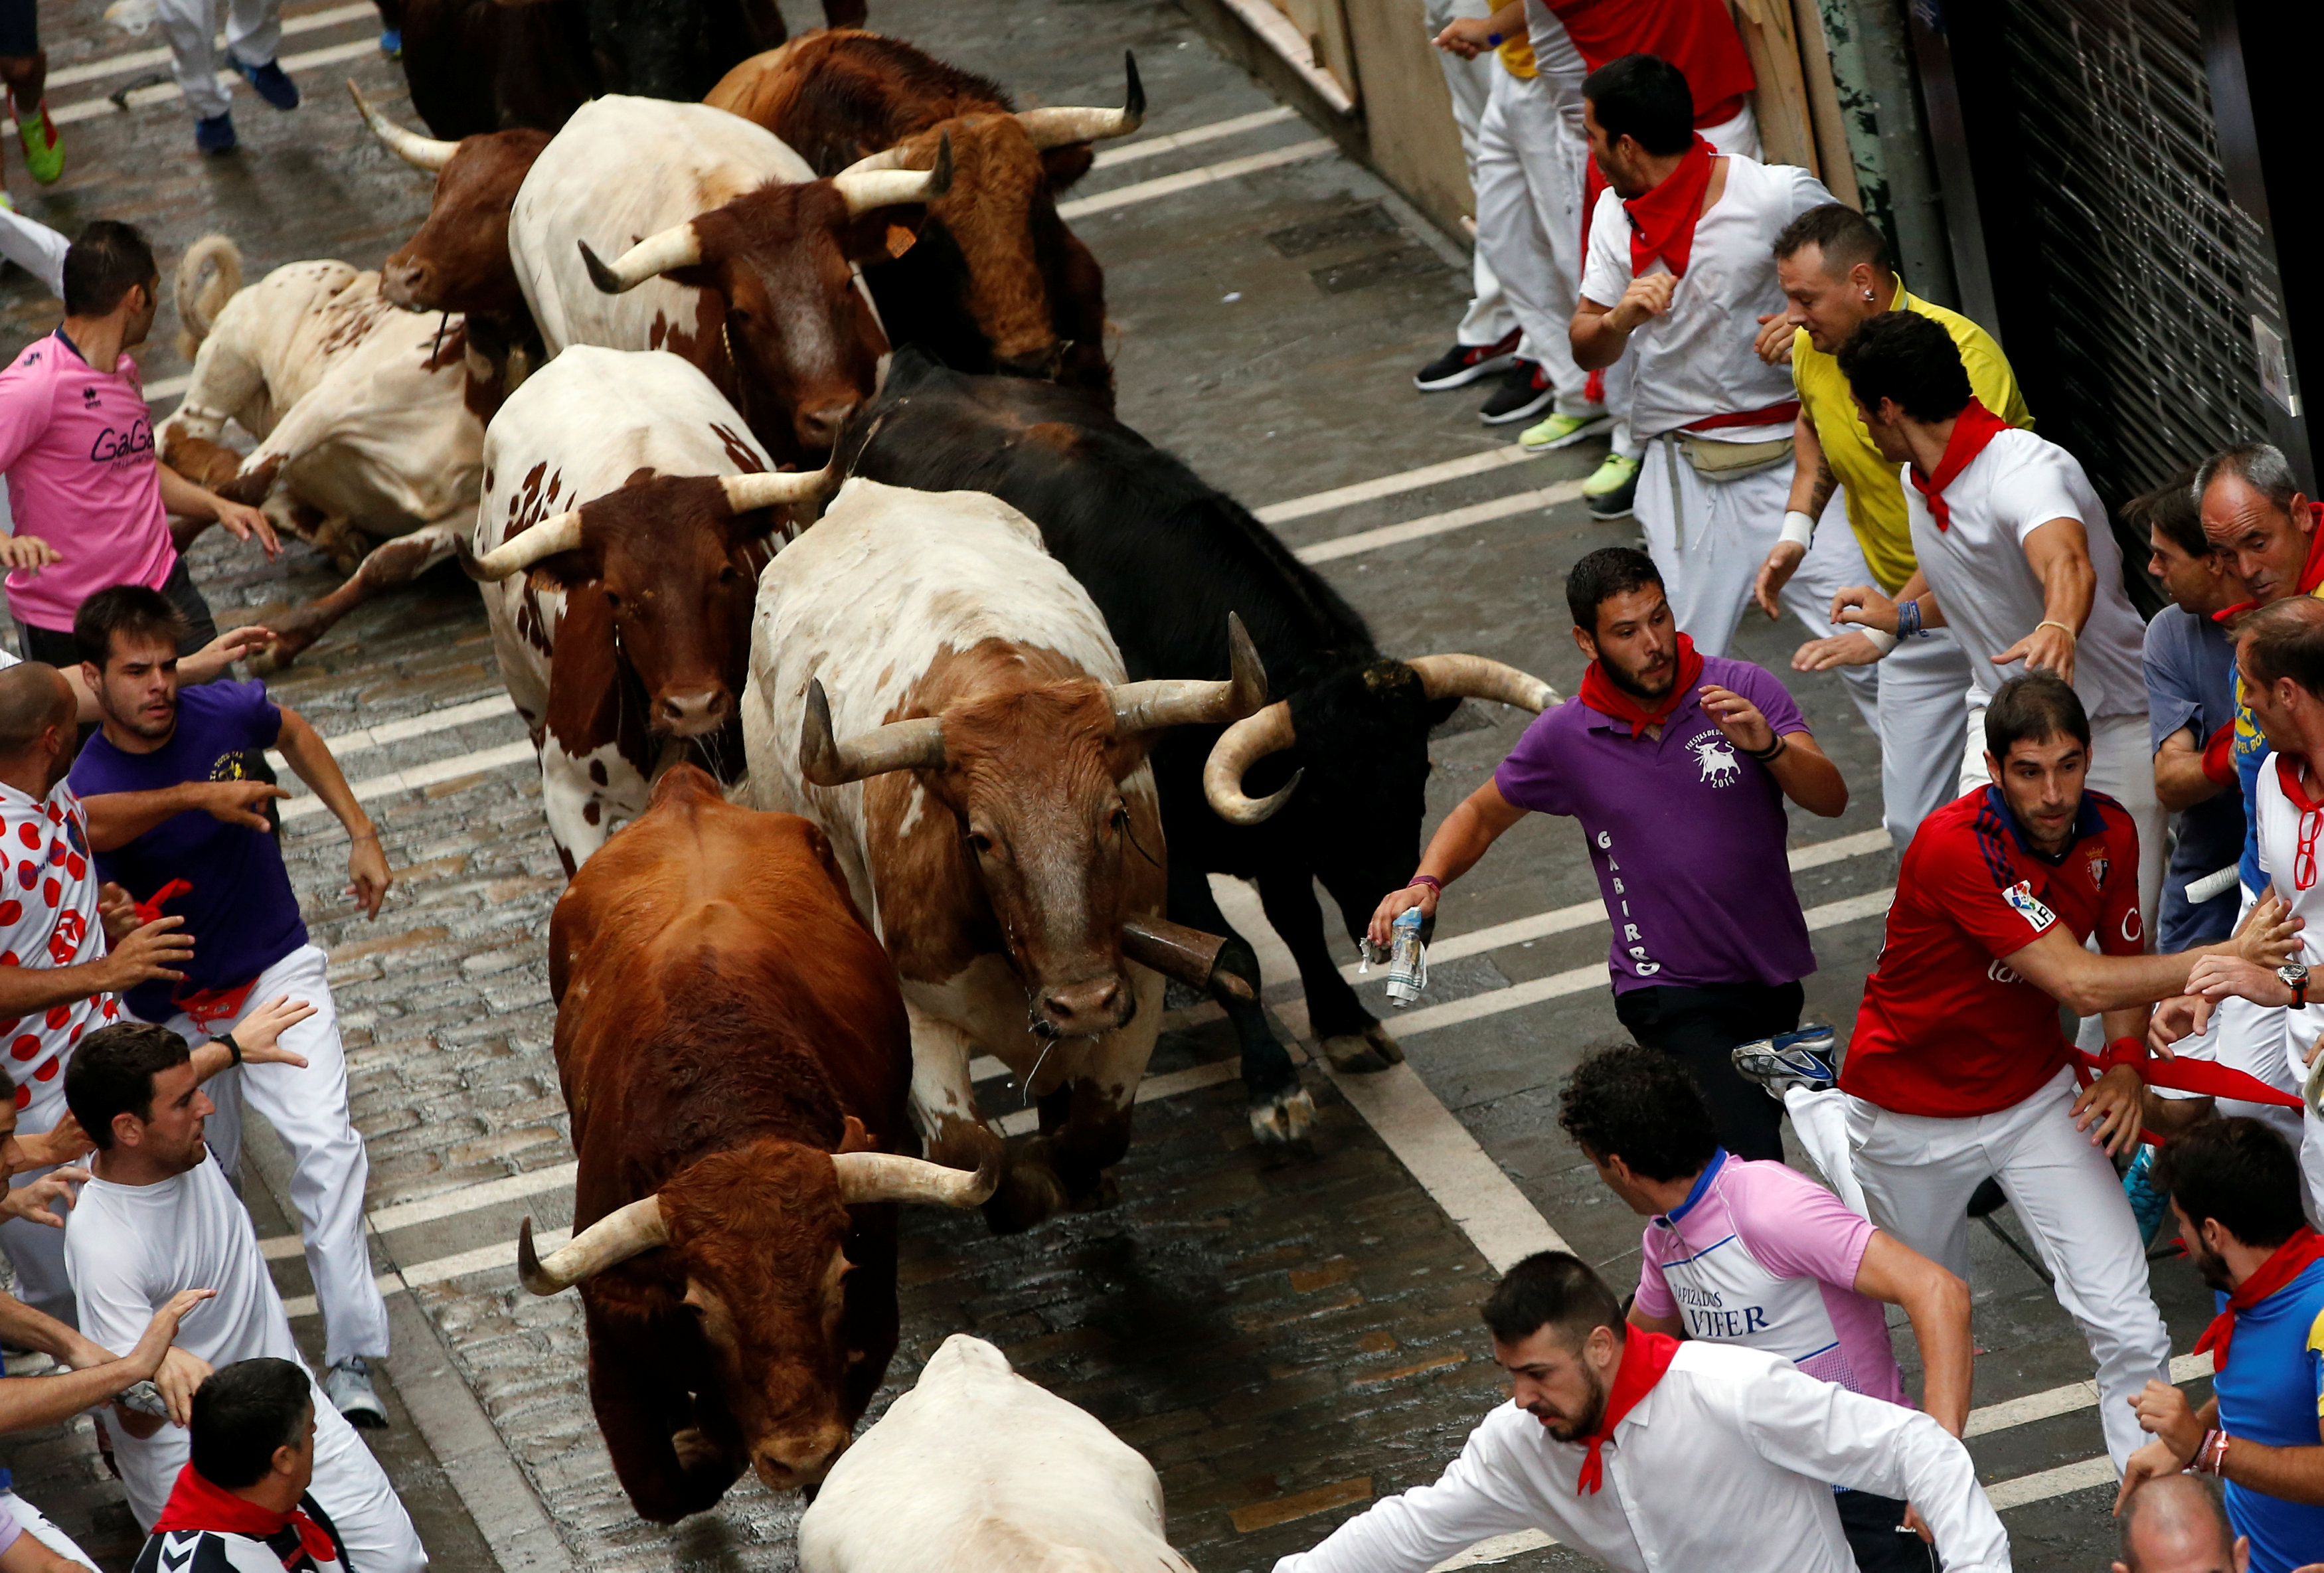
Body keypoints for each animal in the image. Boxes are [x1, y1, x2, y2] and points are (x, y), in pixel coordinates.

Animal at [518, 762, 990, 1524]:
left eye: (836, 1279)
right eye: (703, 1308)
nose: (799, 1451)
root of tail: (685, 790)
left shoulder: (870, 1324)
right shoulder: (613, 1345)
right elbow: (661, 1485)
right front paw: (704, 1439)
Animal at [837, 351, 1543, 1143]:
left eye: (1419, 770)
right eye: (1325, 794)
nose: (1400, 912)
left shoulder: (1272, 839)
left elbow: (1297, 924)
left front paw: (1344, 1024)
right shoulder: (1162, 839)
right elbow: (1235, 952)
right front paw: (1273, 1084)